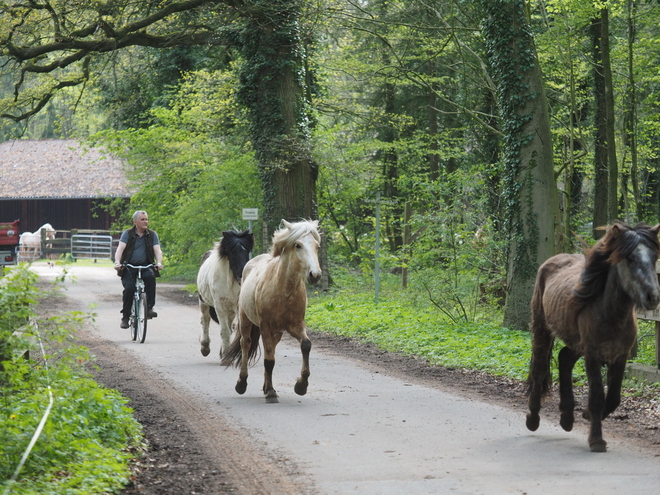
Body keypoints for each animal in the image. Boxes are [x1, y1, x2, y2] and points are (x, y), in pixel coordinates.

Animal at [222, 221, 322, 404]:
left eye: (317, 246)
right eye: (298, 245)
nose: (315, 275)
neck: (284, 290)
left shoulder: (296, 326)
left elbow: (306, 345)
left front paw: (301, 385)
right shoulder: (266, 327)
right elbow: (269, 361)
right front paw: (270, 392)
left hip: (277, 332)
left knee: (271, 349)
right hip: (246, 320)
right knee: (246, 344)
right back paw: (242, 383)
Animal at [524, 223, 660, 452]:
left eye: (654, 257)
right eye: (630, 258)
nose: (653, 297)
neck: (611, 314)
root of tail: (552, 261)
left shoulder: (620, 357)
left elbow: (613, 398)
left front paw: (586, 414)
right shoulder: (592, 356)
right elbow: (597, 396)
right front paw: (596, 439)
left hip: (576, 344)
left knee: (564, 359)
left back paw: (566, 418)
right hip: (543, 331)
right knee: (539, 369)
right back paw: (533, 419)